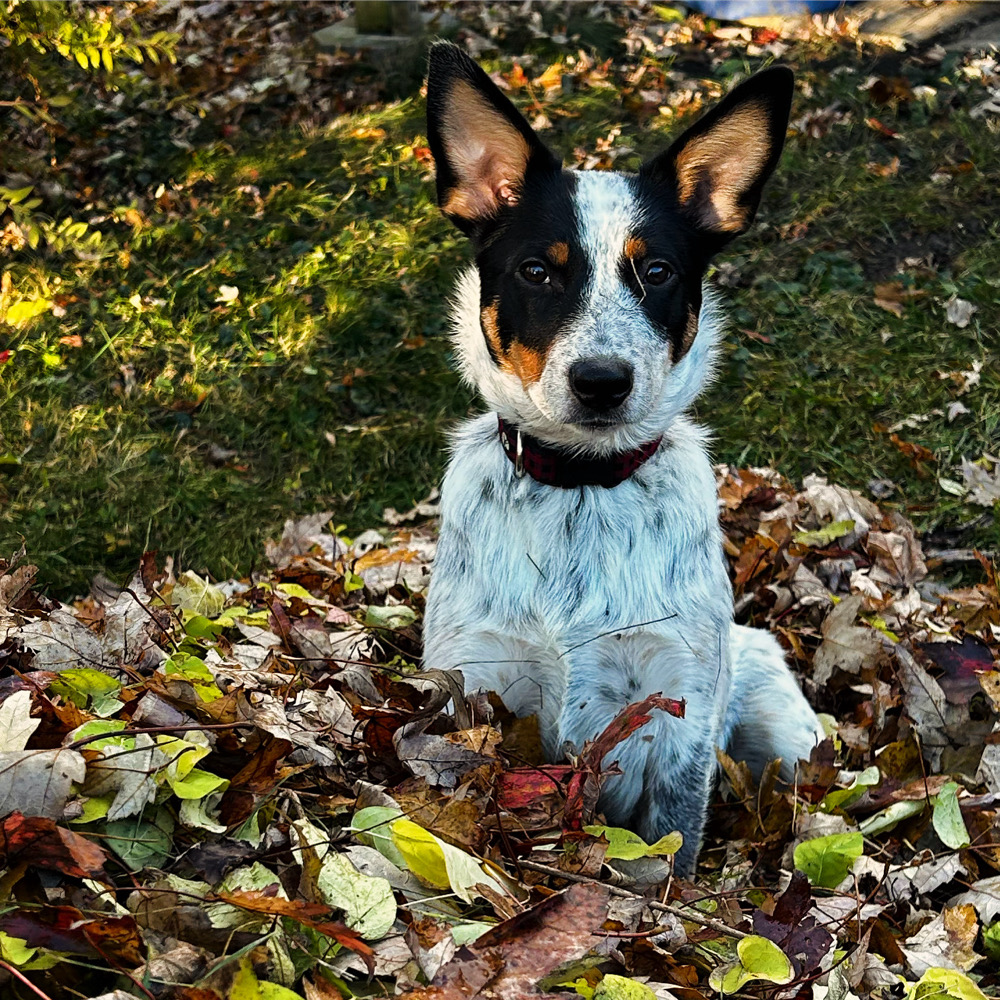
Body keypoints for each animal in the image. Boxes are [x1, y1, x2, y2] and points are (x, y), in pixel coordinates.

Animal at [421, 42, 825, 875]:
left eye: (658, 272)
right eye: (538, 270)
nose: (602, 381)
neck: (581, 482)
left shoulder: (677, 713)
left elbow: (664, 861)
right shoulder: (473, 684)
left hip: (780, 728)